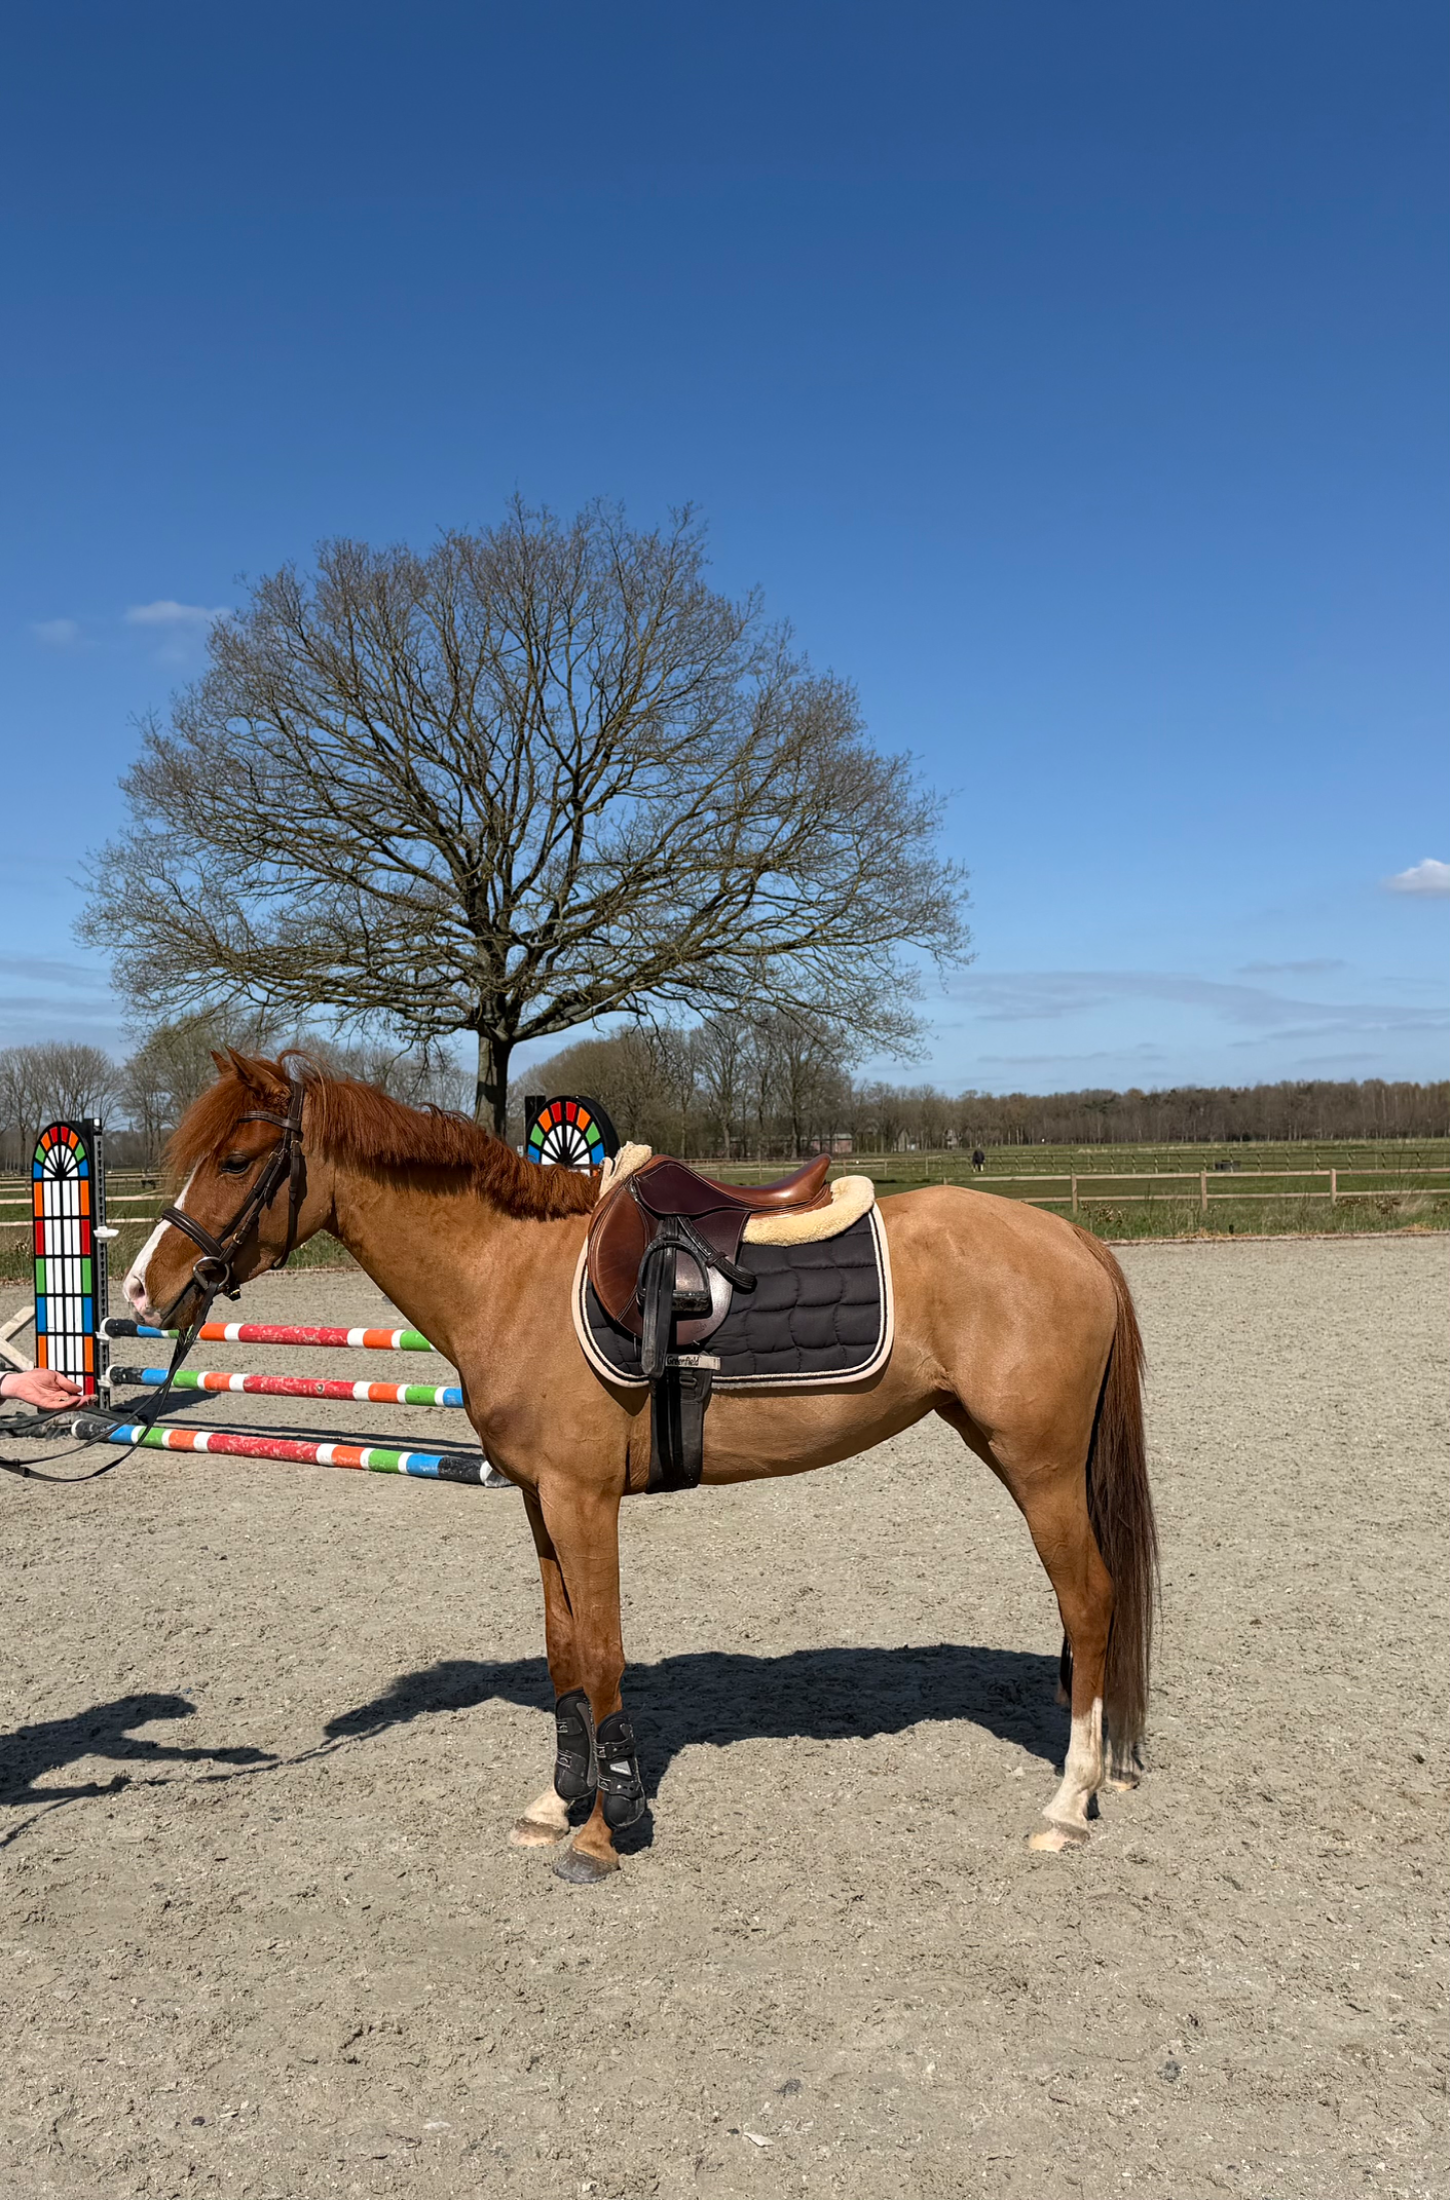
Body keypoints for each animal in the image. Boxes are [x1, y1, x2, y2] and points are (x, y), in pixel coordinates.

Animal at [122, 1051, 1158, 1884]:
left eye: (237, 1161)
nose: (141, 1290)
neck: (513, 1275)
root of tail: (1072, 1237)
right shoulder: (539, 1501)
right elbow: (564, 1650)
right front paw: (557, 1802)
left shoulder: (586, 1501)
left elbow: (606, 1653)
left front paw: (605, 1829)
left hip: (1039, 1466)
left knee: (1090, 1599)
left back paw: (1067, 1805)